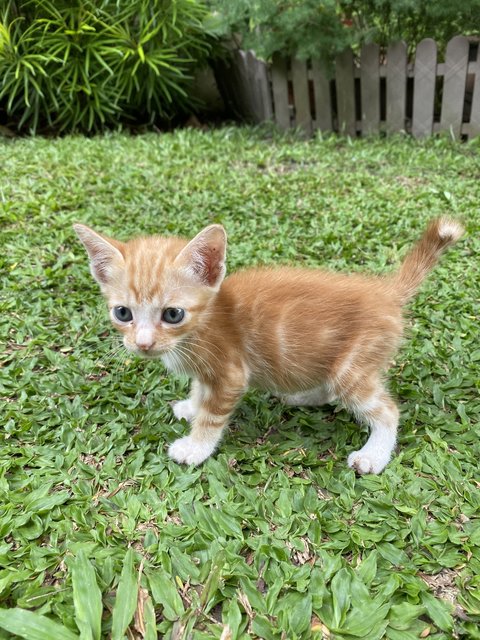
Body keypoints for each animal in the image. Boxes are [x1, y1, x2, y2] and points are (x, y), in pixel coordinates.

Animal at [74, 218, 462, 472]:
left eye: (172, 314)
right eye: (123, 312)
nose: (142, 343)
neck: (204, 325)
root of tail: (386, 292)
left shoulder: (231, 373)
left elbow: (214, 415)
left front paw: (196, 446)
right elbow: (201, 390)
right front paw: (191, 405)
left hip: (353, 365)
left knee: (385, 410)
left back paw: (374, 456)